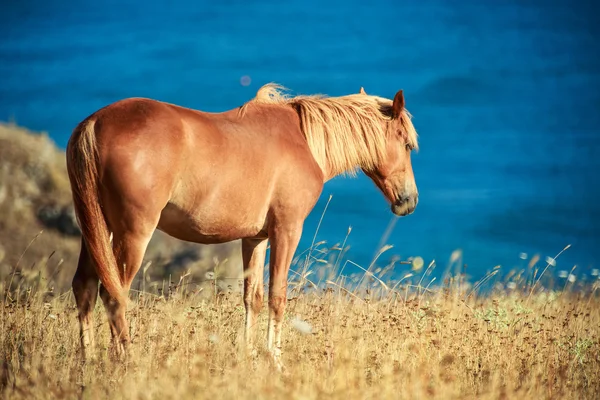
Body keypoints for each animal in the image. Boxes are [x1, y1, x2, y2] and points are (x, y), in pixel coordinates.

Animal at [65, 83, 420, 368]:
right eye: (405, 144)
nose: (409, 200)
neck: (302, 140)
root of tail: (95, 123)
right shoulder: (287, 230)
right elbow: (278, 297)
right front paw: (275, 360)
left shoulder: (255, 239)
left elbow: (253, 298)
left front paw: (249, 356)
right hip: (132, 234)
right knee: (114, 294)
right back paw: (124, 359)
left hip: (98, 230)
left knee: (85, 288)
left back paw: (87, 359)